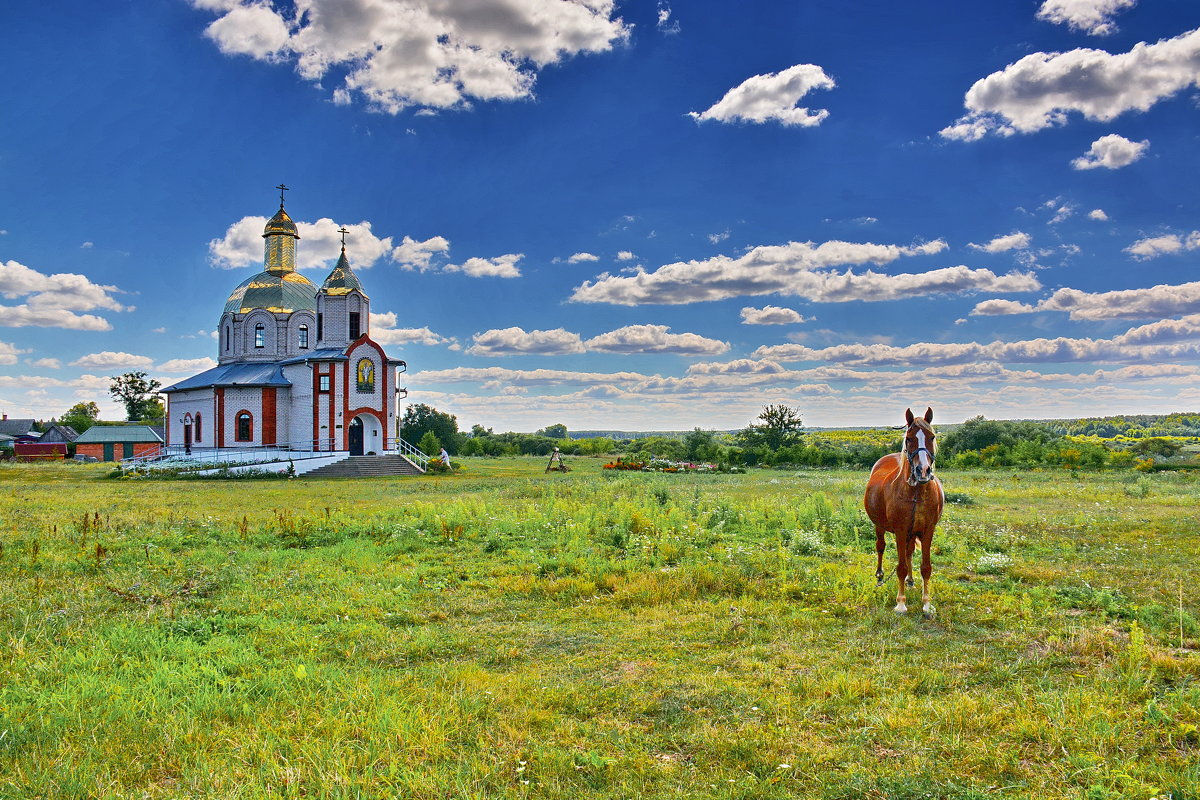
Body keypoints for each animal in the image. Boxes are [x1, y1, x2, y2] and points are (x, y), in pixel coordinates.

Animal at [864, 407, 945, 618]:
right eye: (909, 439)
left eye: (932, 437)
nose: (923, 471)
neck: (916, 493)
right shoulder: (900, 531)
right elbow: (899, 567)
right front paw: (900, 604)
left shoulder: (927, 531)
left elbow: (925, 567)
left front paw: (927, 604)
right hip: (879, 526)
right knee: (881, 547)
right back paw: (880, 576)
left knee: (909, 553)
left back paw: (910, 580)